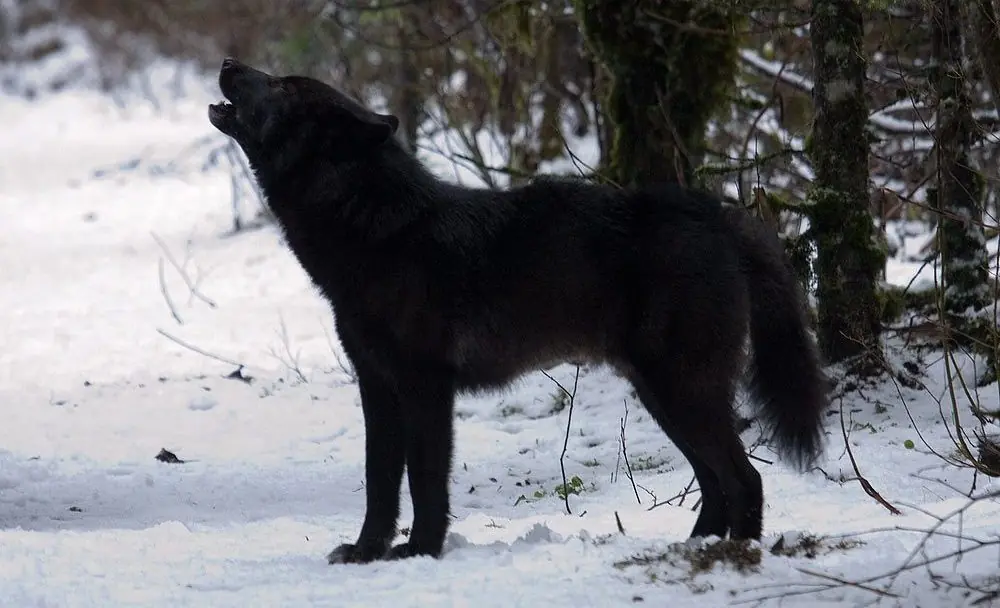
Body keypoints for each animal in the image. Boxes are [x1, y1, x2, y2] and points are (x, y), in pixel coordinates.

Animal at [208, 57, 828, 564]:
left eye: (282, 86)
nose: (229, 62)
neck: (382, 230)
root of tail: (716, 214)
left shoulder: (425, 388)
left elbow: (425, 481)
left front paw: (420, 552)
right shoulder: (377, 388)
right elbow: (379, 482)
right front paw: (365, 553)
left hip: (681, 391)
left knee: (745, 479)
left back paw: (733, 559)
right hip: (662, 396)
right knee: (715, 481)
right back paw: (692, 550)